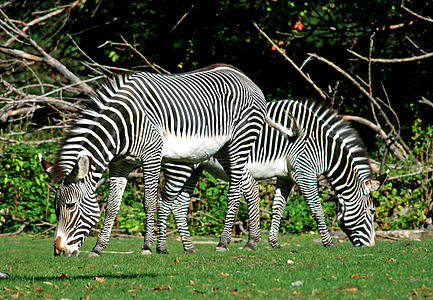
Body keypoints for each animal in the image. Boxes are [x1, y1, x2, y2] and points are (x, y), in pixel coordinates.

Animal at [39, 64, 280, 256]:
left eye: (70, 205)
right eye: (56, 207)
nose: (58, 252)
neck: (122, 125)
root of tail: (245, 78)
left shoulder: (152, 155)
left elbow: (150, 202)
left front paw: (148, 247)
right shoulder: (120, 163)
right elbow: (113, 205)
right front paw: (98, 248)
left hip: (240, 141)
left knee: (235, 190)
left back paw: (223, 242)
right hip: (223, 149)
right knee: (250, 185)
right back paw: (252, 242)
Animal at [154, 99, 384, 253]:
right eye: (371, 211)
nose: (372, 247)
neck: (324, 149)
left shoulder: (286, 177)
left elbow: (278, 209)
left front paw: (274, 242)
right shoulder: (305, 172)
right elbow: (316, 209)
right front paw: (329, 242)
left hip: (194, 168)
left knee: (179, 205)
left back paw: (189, 247)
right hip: (180, 166)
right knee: (165, 202)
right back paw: (162, 247)